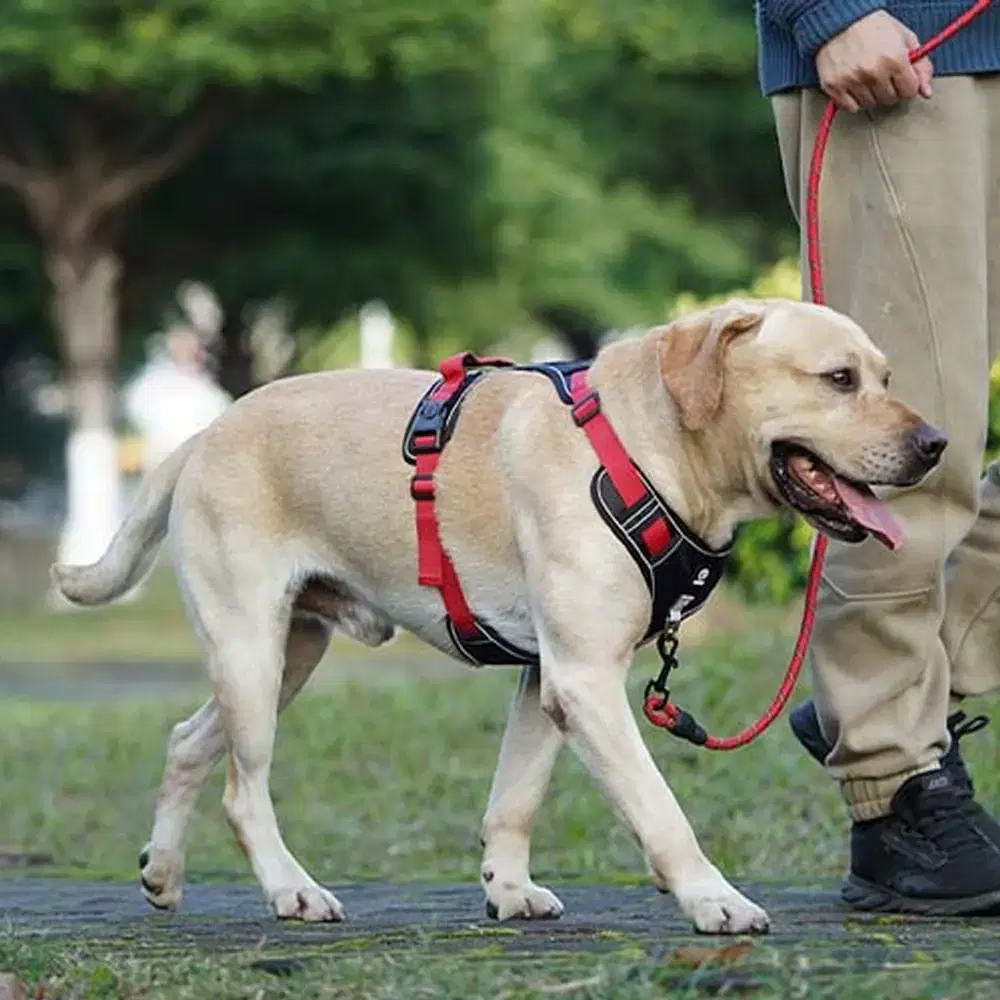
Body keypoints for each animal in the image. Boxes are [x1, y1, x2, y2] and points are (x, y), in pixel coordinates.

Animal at [52, 296, 944, 936]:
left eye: (887, 376)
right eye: (839, 380)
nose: (936, 443)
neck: (643, 449)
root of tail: (205, 430)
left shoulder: (547, 678)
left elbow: (515, 795)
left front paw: (508, 890)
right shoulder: (585, 681)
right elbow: (660, 808)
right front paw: (710, 897)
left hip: (286, 653)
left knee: (187, 742)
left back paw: (163, 872)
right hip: (252, 649)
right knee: (244, 788)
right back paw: (291, 890)